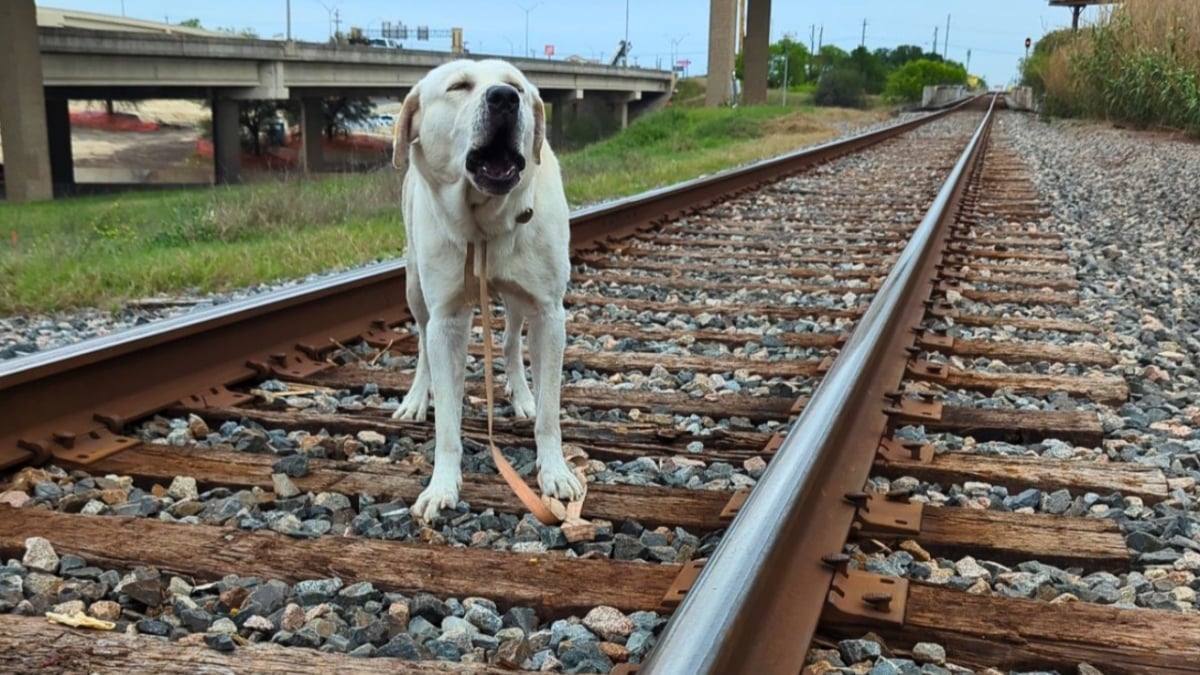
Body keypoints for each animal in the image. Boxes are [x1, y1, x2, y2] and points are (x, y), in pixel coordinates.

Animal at [391, 59, 583, 521]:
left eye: (516, 86)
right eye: (458, 86)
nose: (504, 99)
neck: (484, 224)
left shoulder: (549, 313)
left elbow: (549, 412)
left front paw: (555, 471)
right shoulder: (446, 320)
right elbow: (447, 422)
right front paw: (442, 486)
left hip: (518, 301)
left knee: (512, 340)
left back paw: (522, 394)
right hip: (414, 288)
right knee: (421, 342)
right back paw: (415, 398)